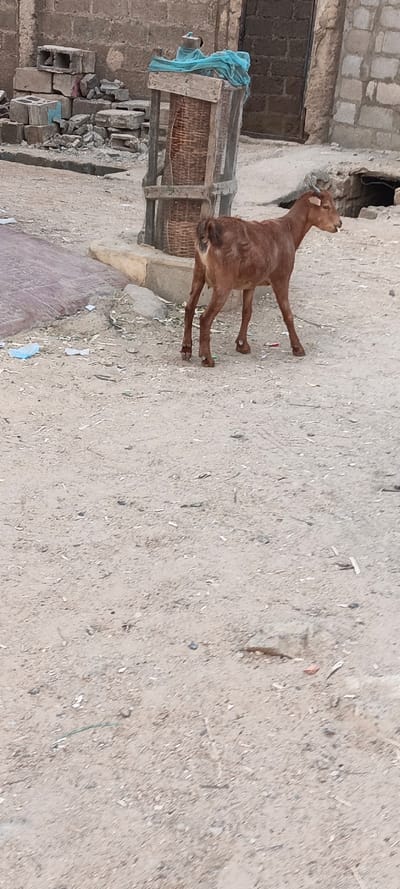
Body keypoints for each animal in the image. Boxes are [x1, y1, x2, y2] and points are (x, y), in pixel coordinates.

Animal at [181, 189, 342, 367]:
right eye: (326, 206)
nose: (339, 224)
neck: (288, 229)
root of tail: (210, 229)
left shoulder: (250, 284)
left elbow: (247, 312)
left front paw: (242, 345)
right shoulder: (281, 278)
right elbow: (287, 313)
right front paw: (298, 348)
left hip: (198, 273)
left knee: (189, 308)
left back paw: (186, 350)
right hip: (223, 284)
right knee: (205, 318)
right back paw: (207, 358)